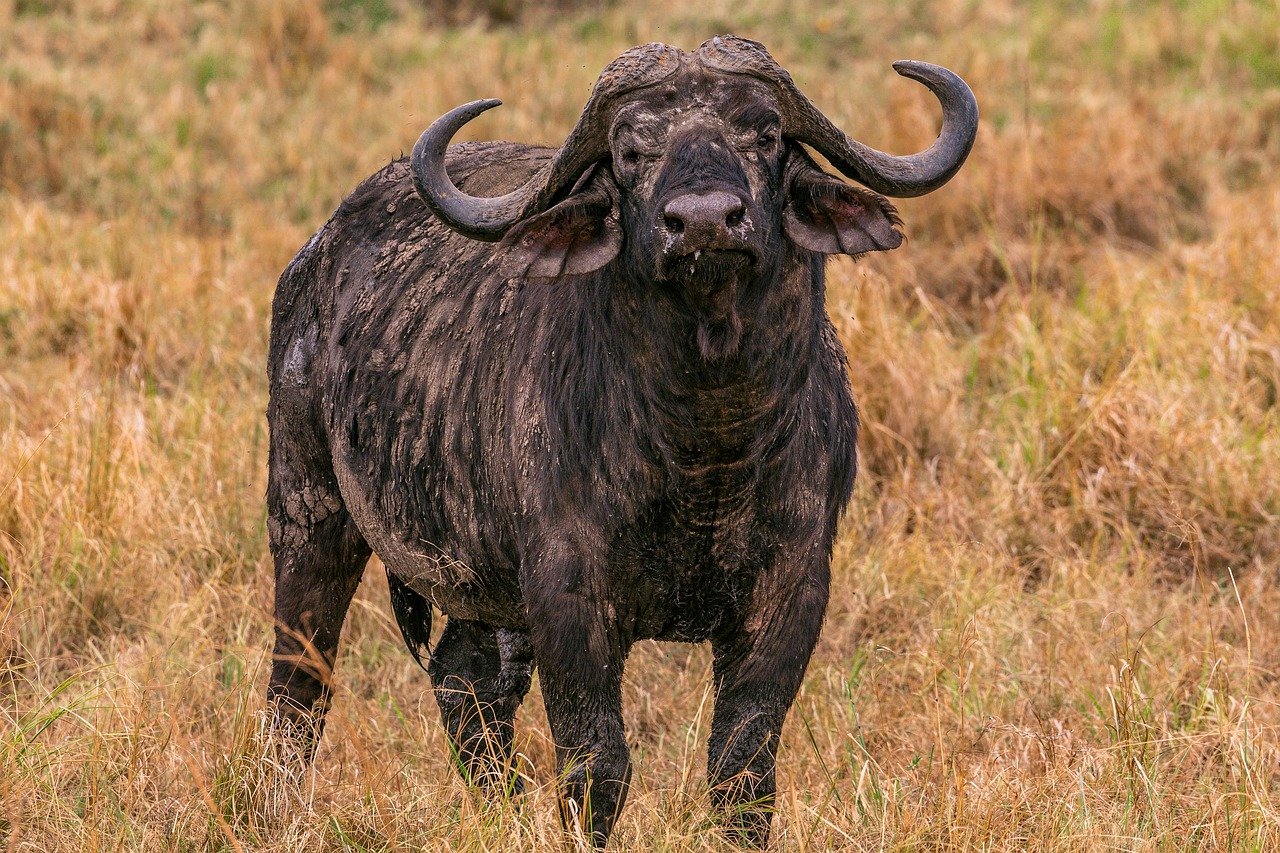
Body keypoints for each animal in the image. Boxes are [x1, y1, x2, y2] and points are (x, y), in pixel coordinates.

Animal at [264, 34, 972, 845]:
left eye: (764, 133)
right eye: (631, 149)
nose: (705, 221)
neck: (705, 449)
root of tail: (316, 258)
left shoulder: (792, 591)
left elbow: (743, 769)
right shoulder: (569, 596)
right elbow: (596, 767)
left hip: (481, 585)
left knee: (466, 683)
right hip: (308, 510)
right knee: (300, 685)